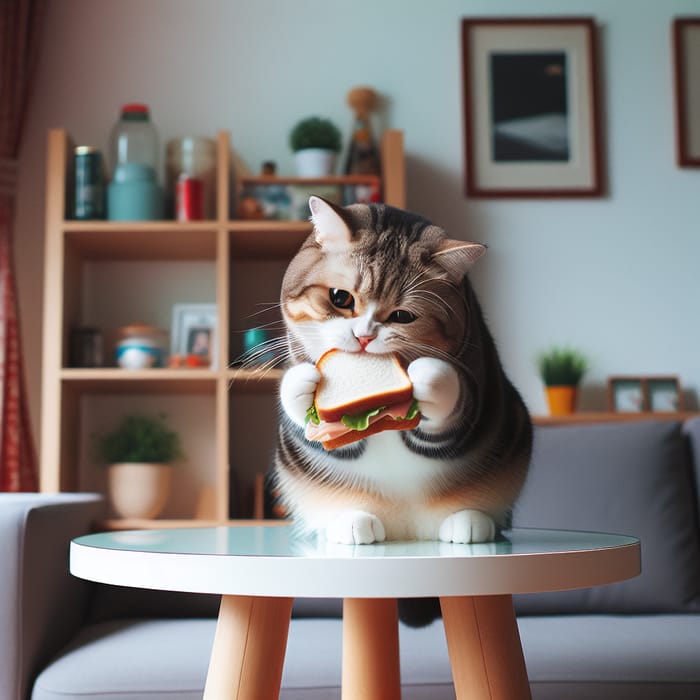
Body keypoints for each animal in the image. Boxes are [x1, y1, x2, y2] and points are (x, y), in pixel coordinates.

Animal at [274, 196, 532, 548]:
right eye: (340, 298)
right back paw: (352, 522)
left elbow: (449, 410)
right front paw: (302, 383)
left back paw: (468, 522)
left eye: (402, 316)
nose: (364, 336)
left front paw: (427, 378)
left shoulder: (476, 392)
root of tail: (408, 530)